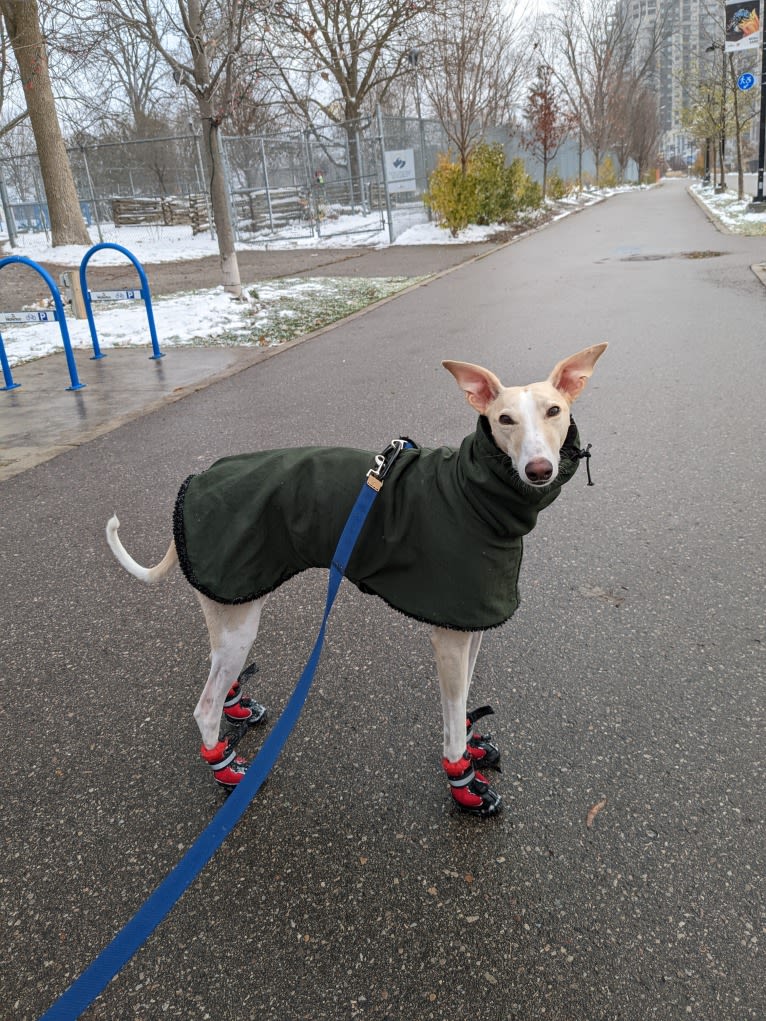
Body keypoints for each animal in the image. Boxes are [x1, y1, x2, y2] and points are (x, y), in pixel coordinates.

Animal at [109, 347, 612, 816]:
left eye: (554, 411)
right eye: (504, 419)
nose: (538, 470)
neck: (475, 493)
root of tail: (196, 479)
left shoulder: (470, 629)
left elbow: (465, 701)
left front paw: (472, 747)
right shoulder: (447, 639)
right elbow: (451, 719)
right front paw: (462, 782)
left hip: (233, 603)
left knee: (217, 676)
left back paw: (237, 708)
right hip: (237, 616)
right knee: (204, 706)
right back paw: (227, 770)